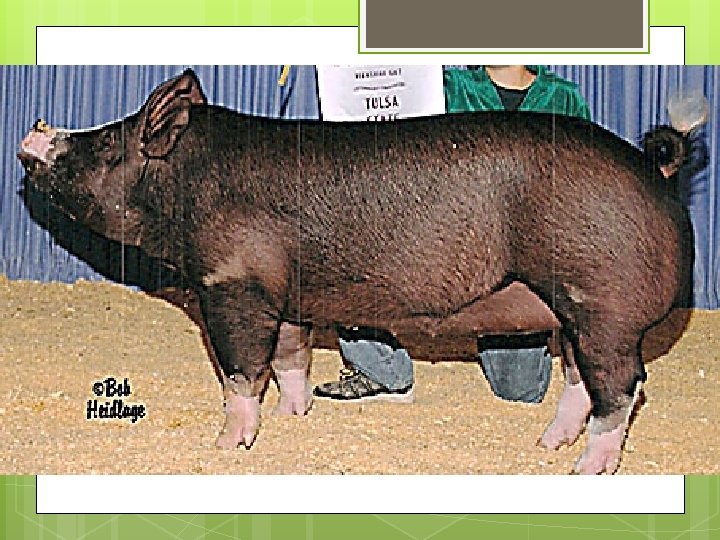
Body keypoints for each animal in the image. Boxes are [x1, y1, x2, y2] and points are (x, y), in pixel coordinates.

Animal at [18, 68, 694, 474]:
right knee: (584, 380)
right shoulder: (284, 293)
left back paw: (585, 469)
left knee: (623, 386)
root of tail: (653, 167)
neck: (183, 185)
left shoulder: (233, 284)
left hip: (602, 303)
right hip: (575, 311)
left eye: (107, 144)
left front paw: (225, 444)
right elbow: (289, 358)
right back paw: (546, 446)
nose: (36, 130)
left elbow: (241, 371)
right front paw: (294, 418)